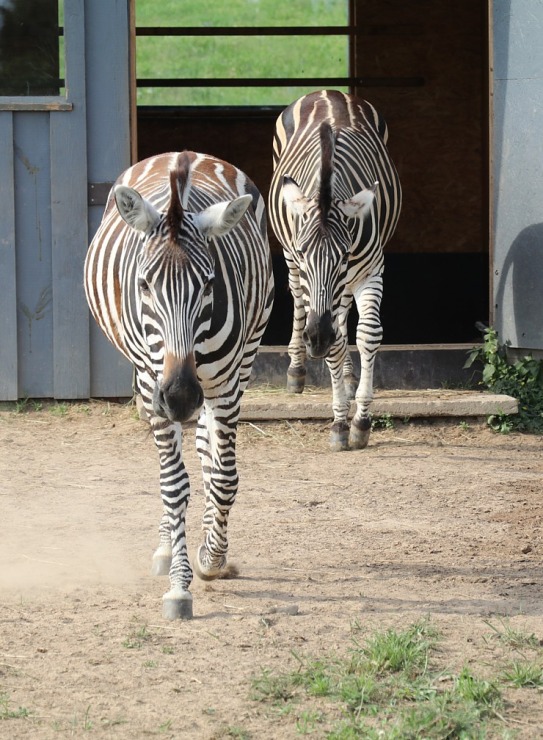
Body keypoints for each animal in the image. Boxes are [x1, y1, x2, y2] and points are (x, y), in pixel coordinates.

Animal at [85, 150, 276, 620]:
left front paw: (212, 558)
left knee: (208, 447)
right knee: (173, 469)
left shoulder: (224, 383)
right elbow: (173, 484)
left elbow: (223, 476)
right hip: (147, 381)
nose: (181, 396)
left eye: (208, 285)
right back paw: (167, 548)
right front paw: (179, 585)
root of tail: (181, 155)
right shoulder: (152, 382)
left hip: (244, 359)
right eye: (143, 284)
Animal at [268, 91, 402, 450]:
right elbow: (335, 343)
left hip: (347, 285)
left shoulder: (371, 270)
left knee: (342, 320)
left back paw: (349, 373)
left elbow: (367, 334)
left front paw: (362, 420)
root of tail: (328, 93)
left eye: (342, 255)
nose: (316, 339)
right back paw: (297, 370)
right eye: (305, 252)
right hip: (290, 264)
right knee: (301, 303)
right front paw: (341, 420)